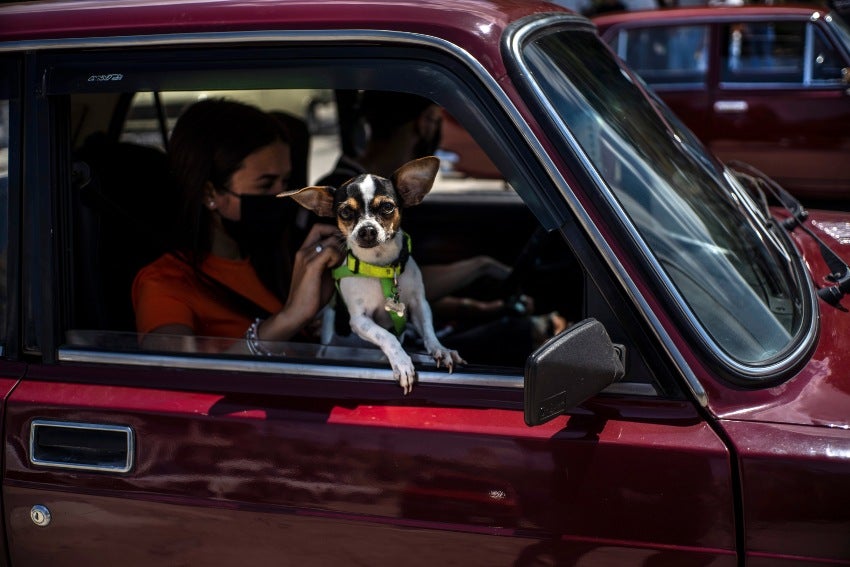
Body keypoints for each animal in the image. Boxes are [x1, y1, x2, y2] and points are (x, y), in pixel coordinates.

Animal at [284, 155, 460, 394]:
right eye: (345, 212)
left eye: (387, 207)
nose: (367, 229)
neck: (380, 268)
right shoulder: (360, 320)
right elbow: (387, 336)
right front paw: (402, 362)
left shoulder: (419, 305)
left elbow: (428, 330)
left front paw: (440, 349)